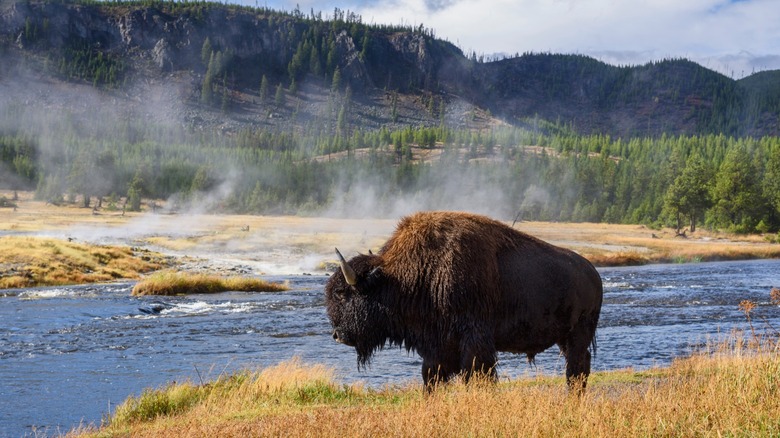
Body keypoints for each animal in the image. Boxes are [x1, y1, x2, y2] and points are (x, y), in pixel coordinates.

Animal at [322, 210, 604, 392]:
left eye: (342, 294)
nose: (337, 335)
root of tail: (593, 273)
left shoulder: (474, 342)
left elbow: (478, 375)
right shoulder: (436, 348)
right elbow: (431, 377)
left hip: (578, 334)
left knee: (577, 367)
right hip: (565, 337)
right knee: (579, 366)